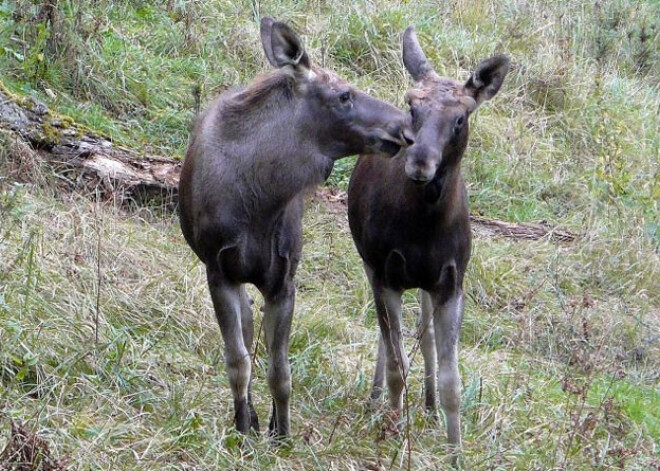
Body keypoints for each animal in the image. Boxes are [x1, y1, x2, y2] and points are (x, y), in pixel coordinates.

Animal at [178, 17, 410, 438]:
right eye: (344, 95)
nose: (403, 126)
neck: (258, 200)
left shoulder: (283, 281)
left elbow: (280, 371)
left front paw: (281, 432)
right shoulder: (218, 271)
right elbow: (238, 361)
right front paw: (243, 425)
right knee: (246, 331)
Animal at [348, 27, 508, 456]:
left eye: (460, 117)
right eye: (412, 105)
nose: (420, 161)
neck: (424, 229)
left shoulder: (451, 283)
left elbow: (453, 379)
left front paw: (455, 450)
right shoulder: (385, 274)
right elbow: (396, 365)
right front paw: (391, 432)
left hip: (424, 284)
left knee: (425, 336)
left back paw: (430, 405)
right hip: (372, 264)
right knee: (389, 339)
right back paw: (375, 401)